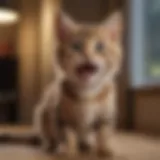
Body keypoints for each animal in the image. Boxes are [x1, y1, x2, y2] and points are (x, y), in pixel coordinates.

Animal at [0, 11, 123, 158]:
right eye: (76, 46)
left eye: (100, 47)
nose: (87, 54)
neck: (87, 94)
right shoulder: (59, 116)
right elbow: (67, 135)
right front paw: (68, 151)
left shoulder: (106, 115)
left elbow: (103, 133)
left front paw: (104, 149)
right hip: (42, 113)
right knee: (48, 136)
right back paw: (50, 146)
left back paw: (86, 145)